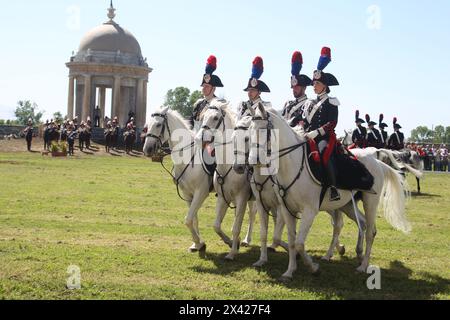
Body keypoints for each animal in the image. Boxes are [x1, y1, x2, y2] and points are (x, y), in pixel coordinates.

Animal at [144, 107, 213, 252]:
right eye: (147, 126)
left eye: (158, 124)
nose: (147, 149)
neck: (188, 157)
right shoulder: (188, 194)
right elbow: (193, 219)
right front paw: (198, 244)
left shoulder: (201, 192)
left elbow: (188, 219)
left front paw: (198, 241)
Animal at [250, 105, 412, 280]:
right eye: (249, 130)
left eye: (263, 130)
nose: (251, 160)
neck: (292, 165)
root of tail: (377, 162)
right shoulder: (286, 210)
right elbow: (292, 241)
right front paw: (289, 271)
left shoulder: (309, 211)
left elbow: (299, 243)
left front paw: (313, 267)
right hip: (347, 205)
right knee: (359, 224)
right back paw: (356, 254)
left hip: (370, 202)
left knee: (370, 232)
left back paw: (363, 266)